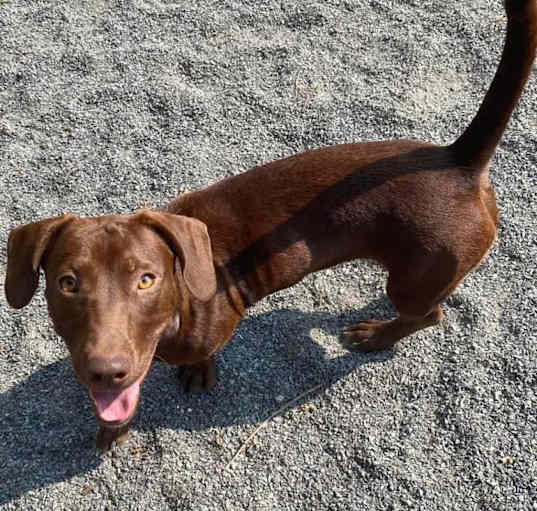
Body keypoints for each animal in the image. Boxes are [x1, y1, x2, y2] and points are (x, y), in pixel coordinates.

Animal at [4, 0, 536, 450]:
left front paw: (196, 373)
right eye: (67, 283)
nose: (105, 371)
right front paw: (110, 428)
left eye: (146, 280)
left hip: (418, 275)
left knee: (428, 314)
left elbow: (197, 359)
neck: (180, 305)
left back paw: (376, 336)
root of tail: (459, 161)